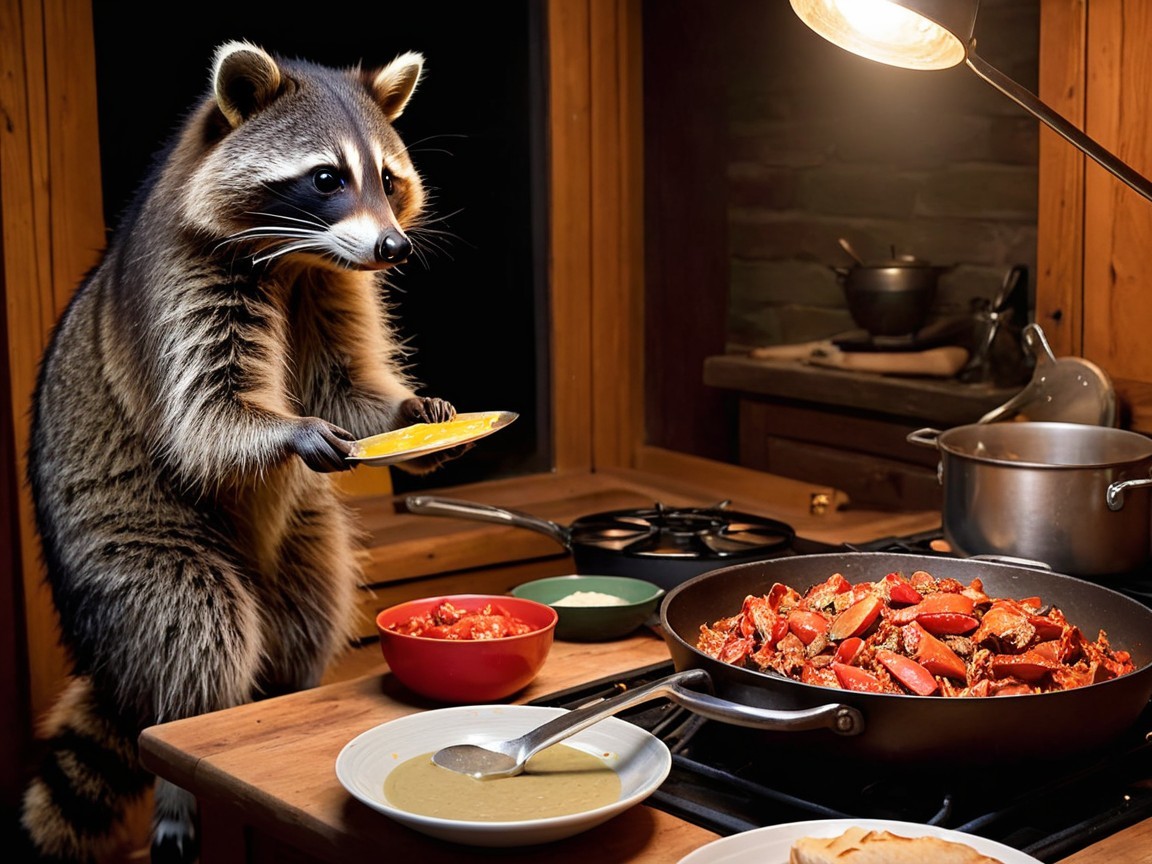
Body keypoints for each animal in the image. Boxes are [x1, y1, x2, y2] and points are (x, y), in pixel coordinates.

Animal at [20, 41, 461, 863]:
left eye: (388, 179)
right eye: (327, 178)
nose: (394, 247)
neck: (295, 259)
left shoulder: (329, 285)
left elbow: (343, 387)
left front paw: (409, 414)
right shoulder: (178, 283)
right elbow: (203, 416)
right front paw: (285, 430)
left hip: (301, 542)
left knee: (310, 607)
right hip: (126, 543)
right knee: (196, 629)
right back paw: (182, 774)